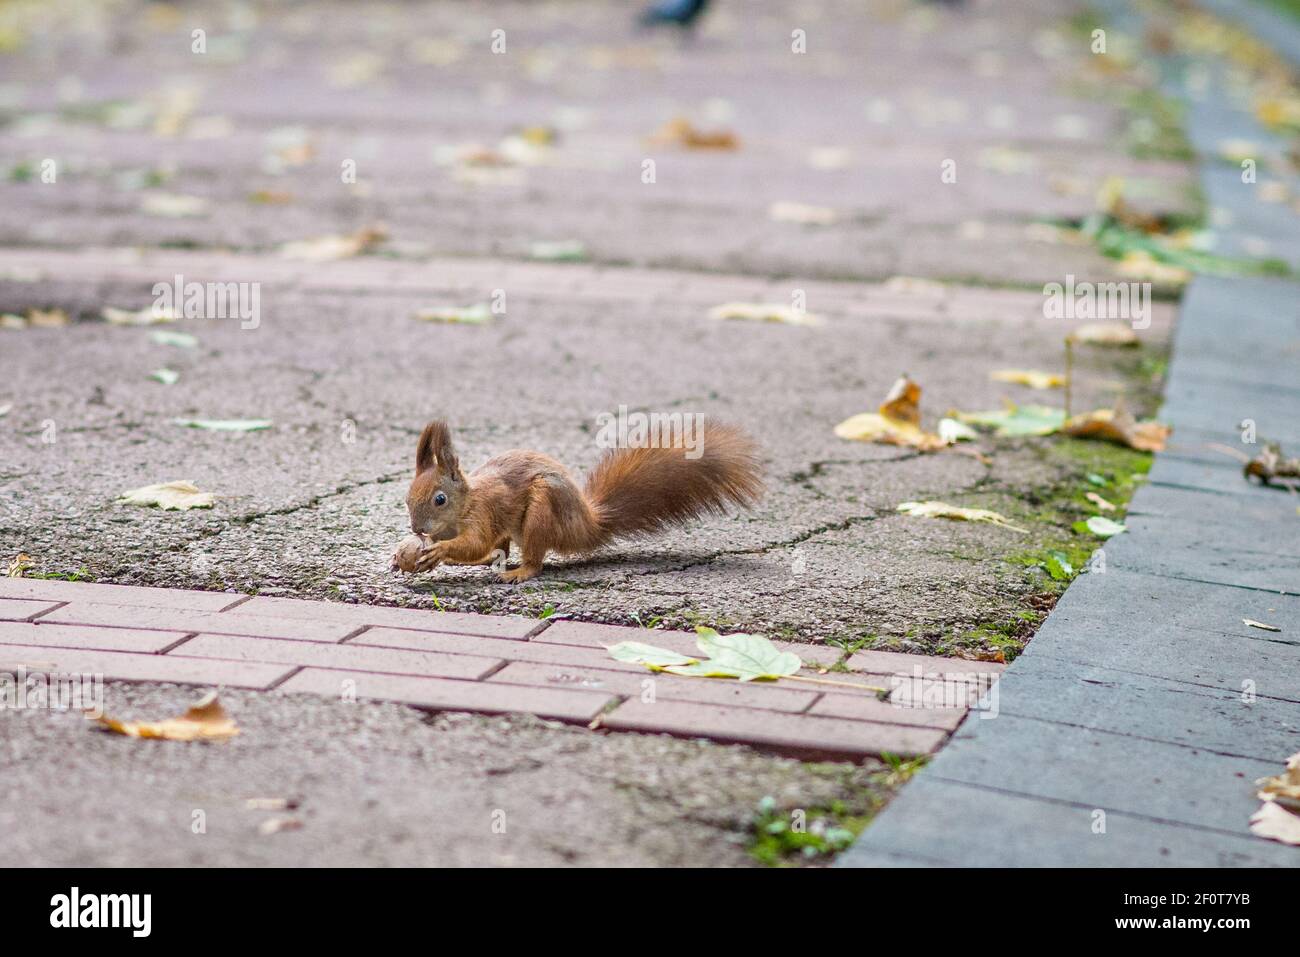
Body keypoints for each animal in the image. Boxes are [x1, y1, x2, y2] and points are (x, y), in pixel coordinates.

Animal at [393, 419, 763, 582]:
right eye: (407, 498)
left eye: (440, 499)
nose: (416, 528)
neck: (464, 504)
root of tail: (587, 524)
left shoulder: (484, 513)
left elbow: (475, 541)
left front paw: (440, 551)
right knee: (501, 549)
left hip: (544, 507)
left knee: (533, 559)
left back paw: (519, 572)